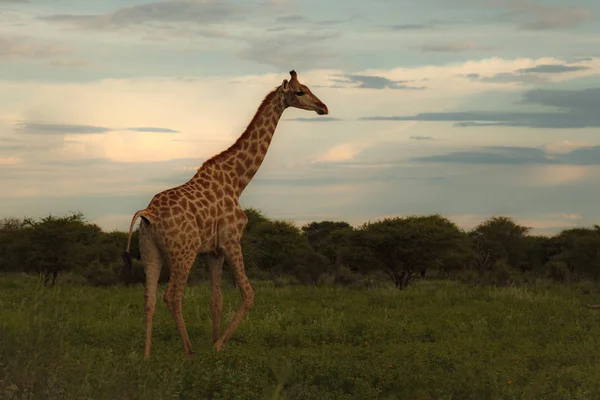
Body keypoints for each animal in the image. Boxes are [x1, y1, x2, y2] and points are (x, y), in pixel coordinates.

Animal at [122, 69, 328, 360]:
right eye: (300, 92)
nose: (323, 107)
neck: (237, 181)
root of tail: (147, 213)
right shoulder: (232, 239)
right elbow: (249, 294)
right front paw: (218, 346)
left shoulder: (214, 251)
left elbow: (216, 300)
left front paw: (214, 343)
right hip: (183, 252)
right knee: (172, 296)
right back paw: (188, 352)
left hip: (152, 253)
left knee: (148, 299)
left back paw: (146, 356)